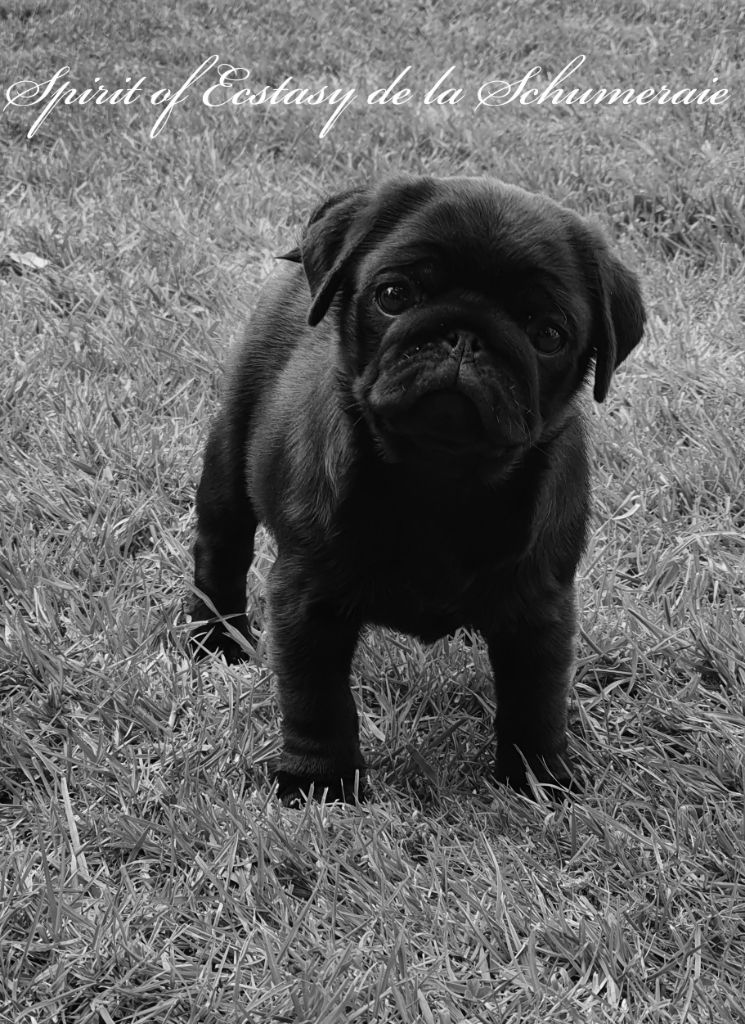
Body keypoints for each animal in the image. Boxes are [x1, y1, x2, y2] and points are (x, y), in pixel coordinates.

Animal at [189, 174, 645, 802]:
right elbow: (317, 699)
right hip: (231, 452)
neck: (439, 479)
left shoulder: (541, 608)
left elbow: (536, 700)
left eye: (548, 334)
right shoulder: (308, 598)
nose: (465, 337)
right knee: (222, 546)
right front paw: (320, 781)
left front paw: (539, 778)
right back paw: (217, 639)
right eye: (394, 295)